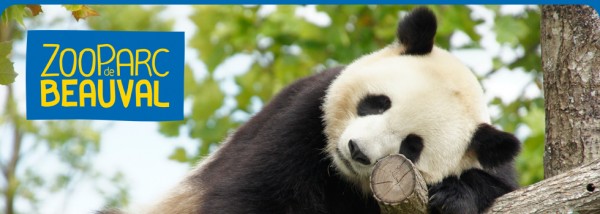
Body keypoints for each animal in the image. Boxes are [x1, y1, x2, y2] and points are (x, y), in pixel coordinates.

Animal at [143, 6, 516, 214]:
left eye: (412, 147)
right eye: (377, 103)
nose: (358, 151)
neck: (341, 176)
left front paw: (455, 194)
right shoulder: (301, 118)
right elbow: (252, 194)